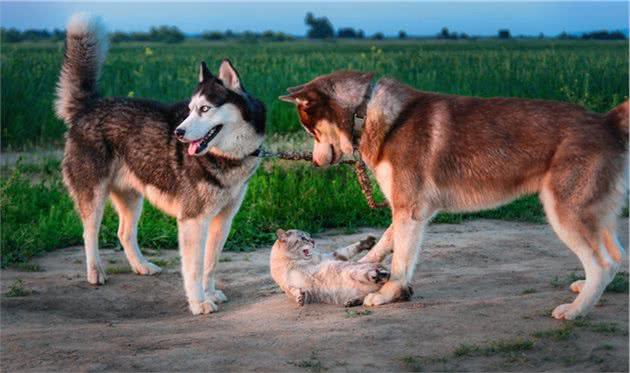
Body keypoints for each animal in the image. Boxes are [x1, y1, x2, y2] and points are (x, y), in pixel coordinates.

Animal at [51, 13, 264, 314]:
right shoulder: (193, 221)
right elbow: (194, 268)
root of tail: (89, 106)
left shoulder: (223, 220)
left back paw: (141, 266)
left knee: (124, 233)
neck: (227, 156)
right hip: (93, 194)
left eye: (205, 109)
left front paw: (210, 292)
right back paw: (95, 272)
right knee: (89, 233)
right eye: (190, 109)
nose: (179, 132)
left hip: (132, 197)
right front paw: (199, 302)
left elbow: (210, 264)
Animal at [282, 71, 630, 318]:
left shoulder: (409, 210)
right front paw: (359, 267)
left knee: (602, 264)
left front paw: (386, 294)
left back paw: (576, 310)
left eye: (311, 130)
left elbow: (401, 262)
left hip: (565, 214)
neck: (368, 114)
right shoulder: (409, 210)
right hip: (595, 215)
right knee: (615, 257)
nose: (315, 162)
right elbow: (384, 244)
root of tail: (606, 121)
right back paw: (588, 290)